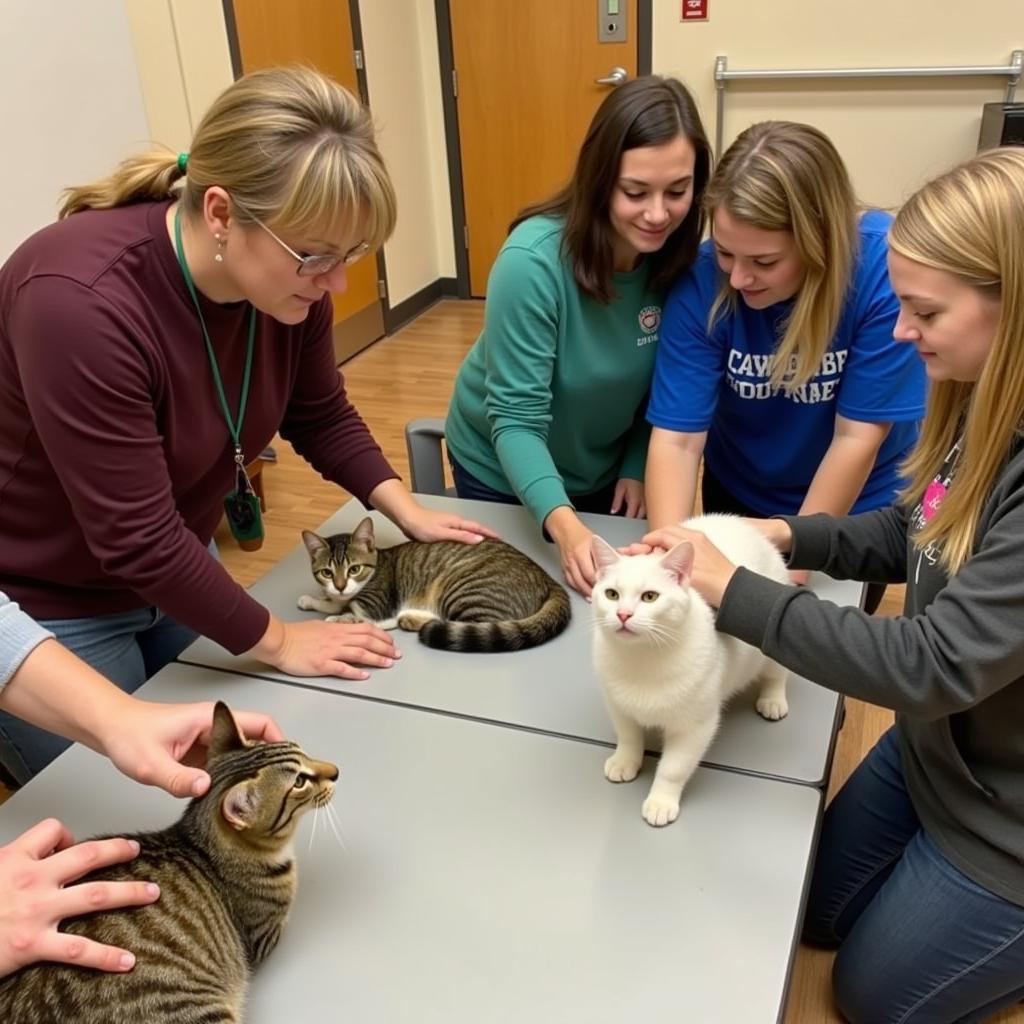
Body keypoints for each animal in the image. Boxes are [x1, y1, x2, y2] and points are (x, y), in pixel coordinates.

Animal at [296, 516, 573, 651]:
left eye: (354, 569)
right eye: (327, 573)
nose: (341, 585)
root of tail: (547, 578)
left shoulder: (377, 606)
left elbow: (354, 613)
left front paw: (337, 618)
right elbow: (334, 602)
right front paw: (314, 600)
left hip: (463, 589)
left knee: (476, 624)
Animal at [589, 516, 786, 827]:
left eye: (650, 597)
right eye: (611, 594)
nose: (623, 614)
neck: (643, 659)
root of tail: (747, 526)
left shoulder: (695, 726)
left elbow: (674, 768)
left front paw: (661, 801)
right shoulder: (618, 705)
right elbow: (629, 736)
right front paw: (625, 760)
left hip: (770, 639)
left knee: (776, 674)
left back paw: (773, 699)